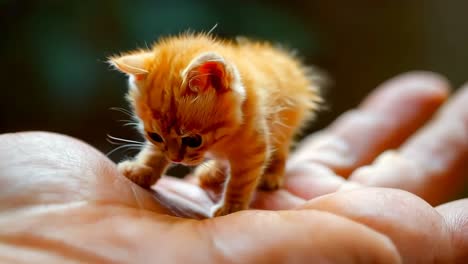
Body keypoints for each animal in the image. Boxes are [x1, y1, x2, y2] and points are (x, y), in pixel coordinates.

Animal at [109, 32, 322, 217]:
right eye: (155, 136)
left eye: (193, 140)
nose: (176, 159)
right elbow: (154, 153)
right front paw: (142, 170)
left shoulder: (252, 147)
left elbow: (241, 180)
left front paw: (231, 207)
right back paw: (214, 172)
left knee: (281, 149)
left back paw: (271, 175)